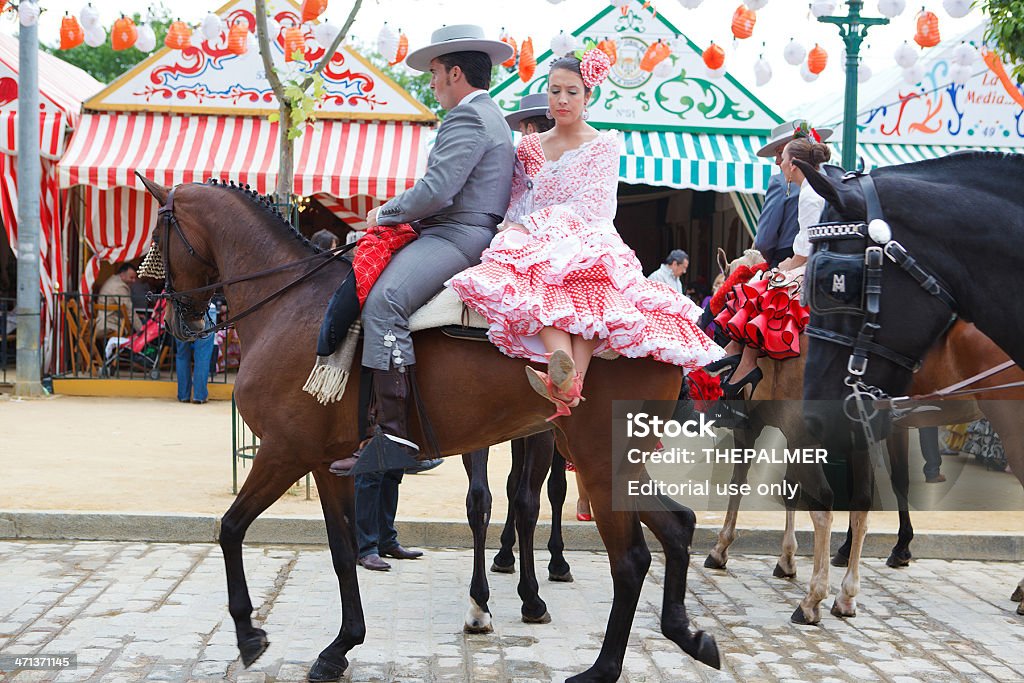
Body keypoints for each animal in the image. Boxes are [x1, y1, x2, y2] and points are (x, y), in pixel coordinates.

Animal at [140, 178, 720, 683]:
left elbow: (231, 528)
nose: (174, 316)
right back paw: (687, 634)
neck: (291, 302)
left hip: (597, 460)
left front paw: (247, 633)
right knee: (677, 525)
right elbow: (343, 550)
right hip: (615, 463)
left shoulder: (284, 452)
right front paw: (341, 646)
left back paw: (602, 667)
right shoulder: (326, 463)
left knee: (631, 559)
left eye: (157, 233)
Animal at [798, 152, 1024, 618]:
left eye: (834, 281)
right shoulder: (881, 415)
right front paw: (892, 548)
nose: (816, 417)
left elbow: (872, 486)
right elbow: (890, 482)